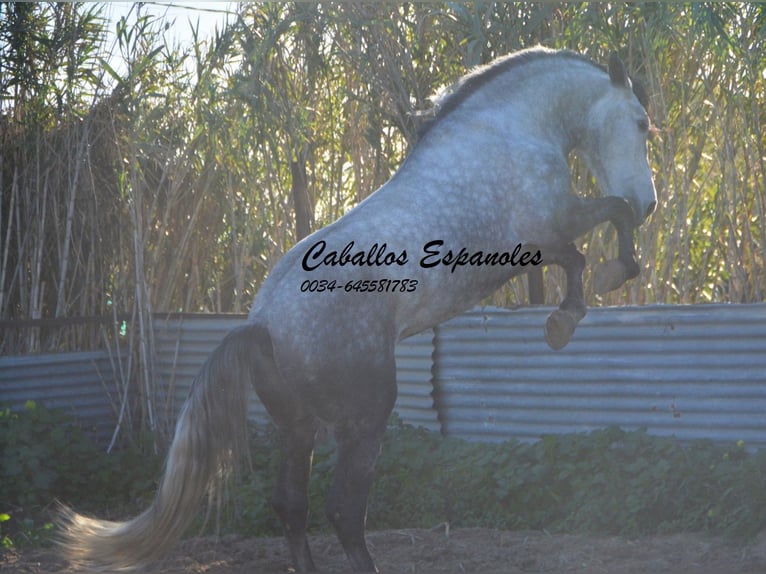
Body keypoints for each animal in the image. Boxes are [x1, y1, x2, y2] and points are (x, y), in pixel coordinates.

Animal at [60, 46, 660, 574]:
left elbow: (602, 231)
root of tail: (264, 325)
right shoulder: (547, 231)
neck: (507, 131)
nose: (652, 203)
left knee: (292, 505)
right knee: (344, 512)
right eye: (641, 122)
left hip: (297, 426)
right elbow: (603, 228)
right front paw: (577, 309)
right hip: (365, 416)